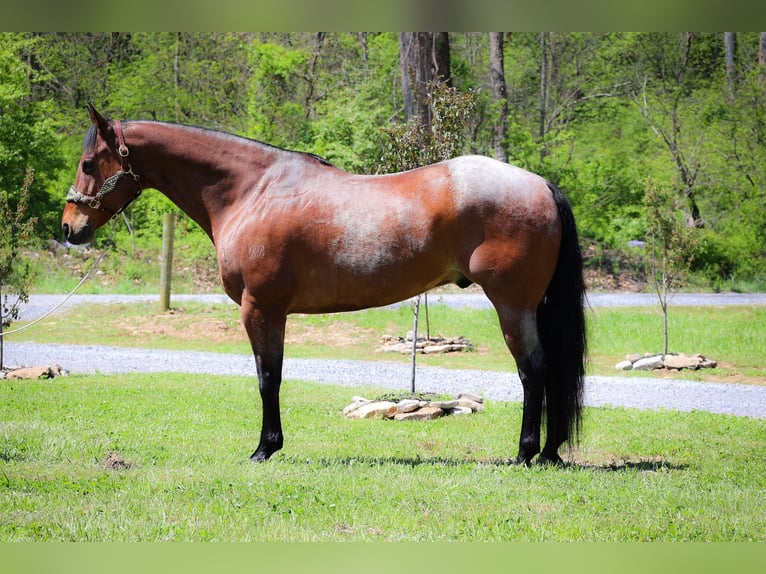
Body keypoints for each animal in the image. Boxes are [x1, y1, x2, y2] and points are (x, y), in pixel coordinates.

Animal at [63, 104, 588, 468]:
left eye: (89, 163)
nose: (70, 227)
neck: (251, 191)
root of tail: (540, 184)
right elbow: (271, 376)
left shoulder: (261, 308)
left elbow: (268, 377)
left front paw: (265, 449)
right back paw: (548, 451)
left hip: (512, 305)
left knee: (533, 370)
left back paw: (525, 453)